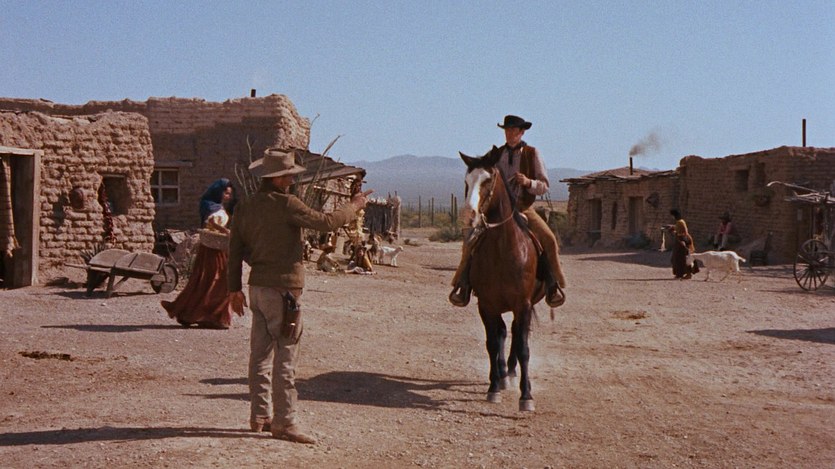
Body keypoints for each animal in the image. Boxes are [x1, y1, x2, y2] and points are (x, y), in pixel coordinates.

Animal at [460, 148, 546, 412]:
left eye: (488, 180)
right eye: (466, 181)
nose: (469, 215)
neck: (503, 251)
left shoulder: (523, 305)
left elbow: (523, 348)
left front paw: (526, 396)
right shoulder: (486, 304)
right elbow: (492, 343)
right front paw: (493, 387)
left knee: (517, 335)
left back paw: (511, 372)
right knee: (503, 334)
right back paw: (500, 375)